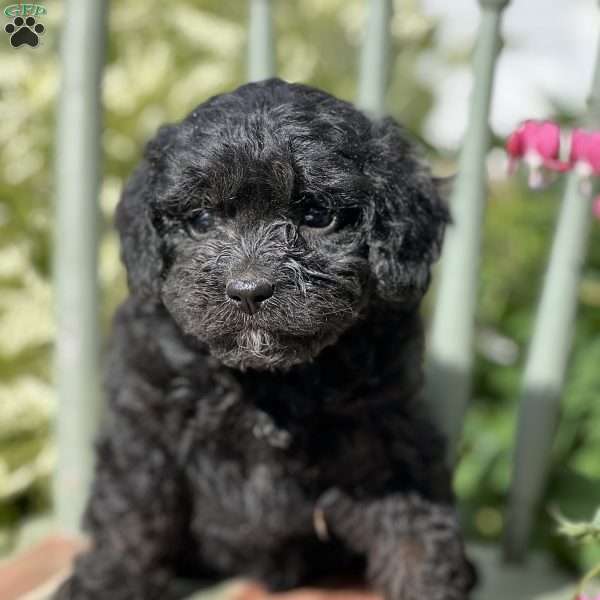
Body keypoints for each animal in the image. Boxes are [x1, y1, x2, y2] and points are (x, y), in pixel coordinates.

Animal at [57, 79, 478, 600]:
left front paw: (428, 581)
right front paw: (106, 581)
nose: (248, 290)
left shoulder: (386, 426)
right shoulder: (145, 420)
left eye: (317, 215)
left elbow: (413, 517)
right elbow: (131, 515)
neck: (267, 379)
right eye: (200, 220)